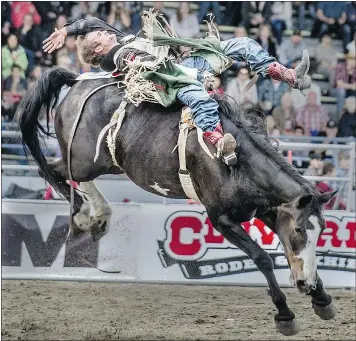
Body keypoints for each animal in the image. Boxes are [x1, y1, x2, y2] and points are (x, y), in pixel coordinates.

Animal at [18, 67, 336, 334]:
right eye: (299, 229)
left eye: (322, 231)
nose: (305, 284)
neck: (235, 160)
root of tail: (76, 82)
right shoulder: (221, 220)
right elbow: (262, 258)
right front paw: (285, 314)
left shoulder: (267, 209)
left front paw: (321, 298)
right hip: (85, 160)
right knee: (49, 170)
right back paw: (85, 215)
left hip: (107, 164)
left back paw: (99, 215)